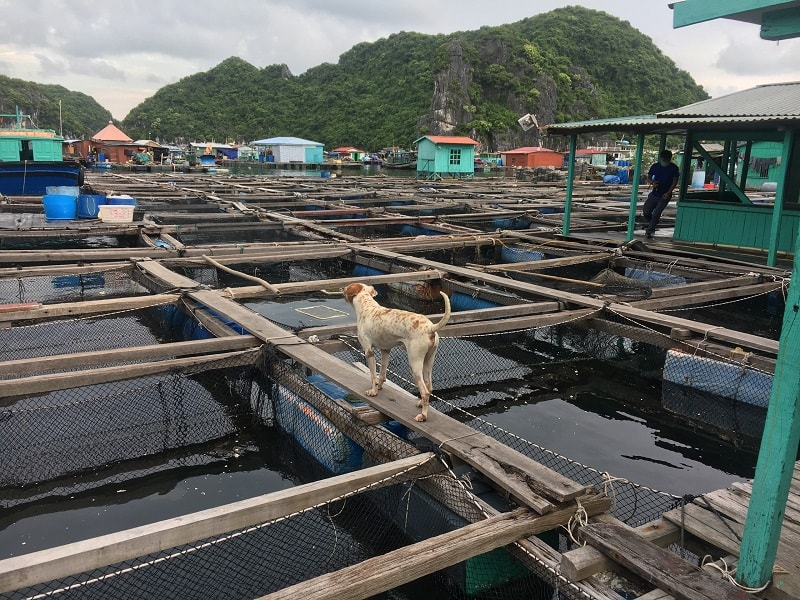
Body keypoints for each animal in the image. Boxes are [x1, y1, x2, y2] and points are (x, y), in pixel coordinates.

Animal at [342, 282, 450, 420]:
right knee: (429, 387)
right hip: (428, 362)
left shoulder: (368, 351)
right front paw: (379, 388)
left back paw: (423, 416)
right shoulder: (385, 350)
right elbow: (382, 375)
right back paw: (421, 404)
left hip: (415, 364)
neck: (367, 307)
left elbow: (373, 376)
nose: (342, 289)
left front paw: (373, 392)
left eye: (346, 287)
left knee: (425, 392)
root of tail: (430, 327)